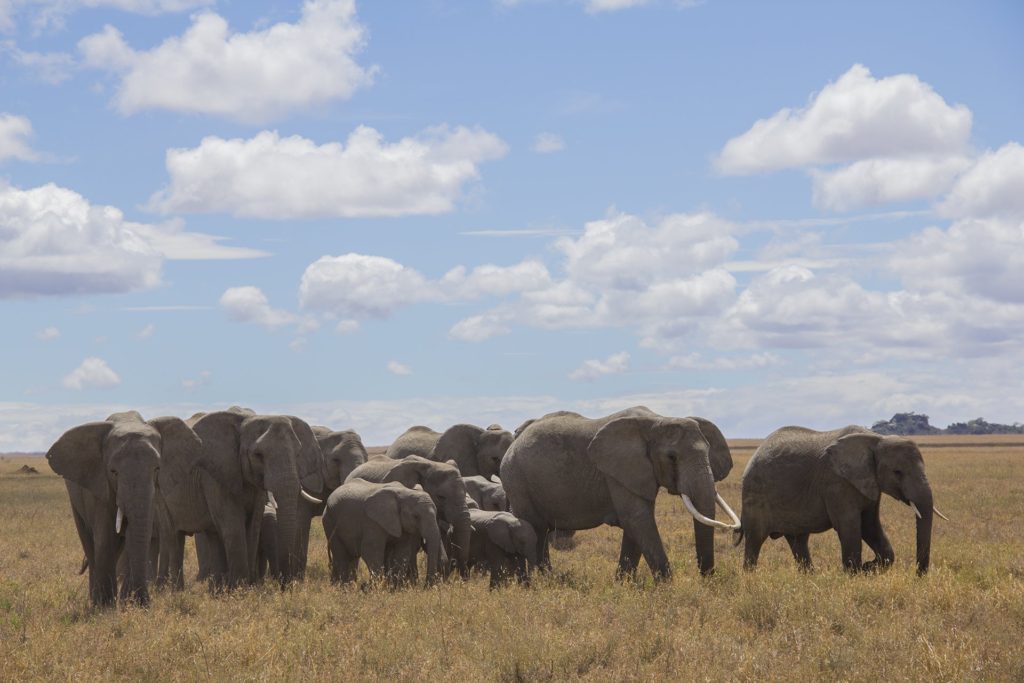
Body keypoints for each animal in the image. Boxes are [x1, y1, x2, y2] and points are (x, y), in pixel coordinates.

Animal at [47, 409, 199, 606]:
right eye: (113, 472)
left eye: (157, 469)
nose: (144, 602)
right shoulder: (99, 486)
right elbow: (104, 538)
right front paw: (106, 606)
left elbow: (134, 536)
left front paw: (130, 603)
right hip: (75, 497)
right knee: (90, 543)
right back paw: (95, 601)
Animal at [155, 409, 321, 589]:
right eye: (258, 455)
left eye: (297, 453)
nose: (287, 586)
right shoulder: (215, 475)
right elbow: (232, 524)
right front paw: (240, 589)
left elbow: (254, 524)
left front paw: (247, 587)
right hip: (162, 489)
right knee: (173, 535)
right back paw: (177, 591)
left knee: (213, 535)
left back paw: (216, 590)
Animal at [499, 405, 741, 581]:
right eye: (672, 457)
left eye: (708, 451)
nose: (707, 579)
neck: (658, 420)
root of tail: (516, 439)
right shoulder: (617, 472)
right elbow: (637, 519)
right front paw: (667, 587)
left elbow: (636, 525)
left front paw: (623, 584)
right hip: (517, 480)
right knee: (536, 528)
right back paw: (541, 581)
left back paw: (548, 579)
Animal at [737, 428, 942, 577]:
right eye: (897, 472)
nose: (918, 575)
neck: (876, 439)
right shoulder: (836, 483)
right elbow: (849, 525)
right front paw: (855, 574)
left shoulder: (869, 483)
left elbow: (870, 526)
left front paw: (868, 568)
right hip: (755, 496)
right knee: (755, 539)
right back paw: (750, 577)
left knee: (798, 540)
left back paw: (809, 577)